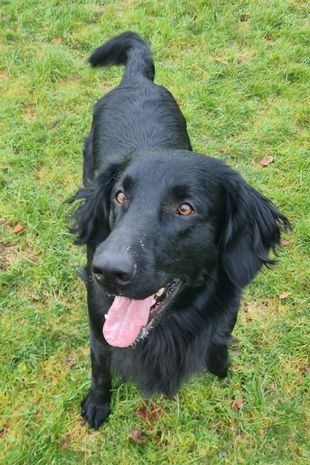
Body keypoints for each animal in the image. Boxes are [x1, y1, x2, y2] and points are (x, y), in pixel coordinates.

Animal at [69, 32, 288, 428]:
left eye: (185, 209)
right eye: (120, 196)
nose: (105, 271)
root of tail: (136, 80)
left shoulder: (226, 312)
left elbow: (218, 342)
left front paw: (219, 368)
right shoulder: (98, 323)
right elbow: (100, 367)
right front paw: (97, 404)